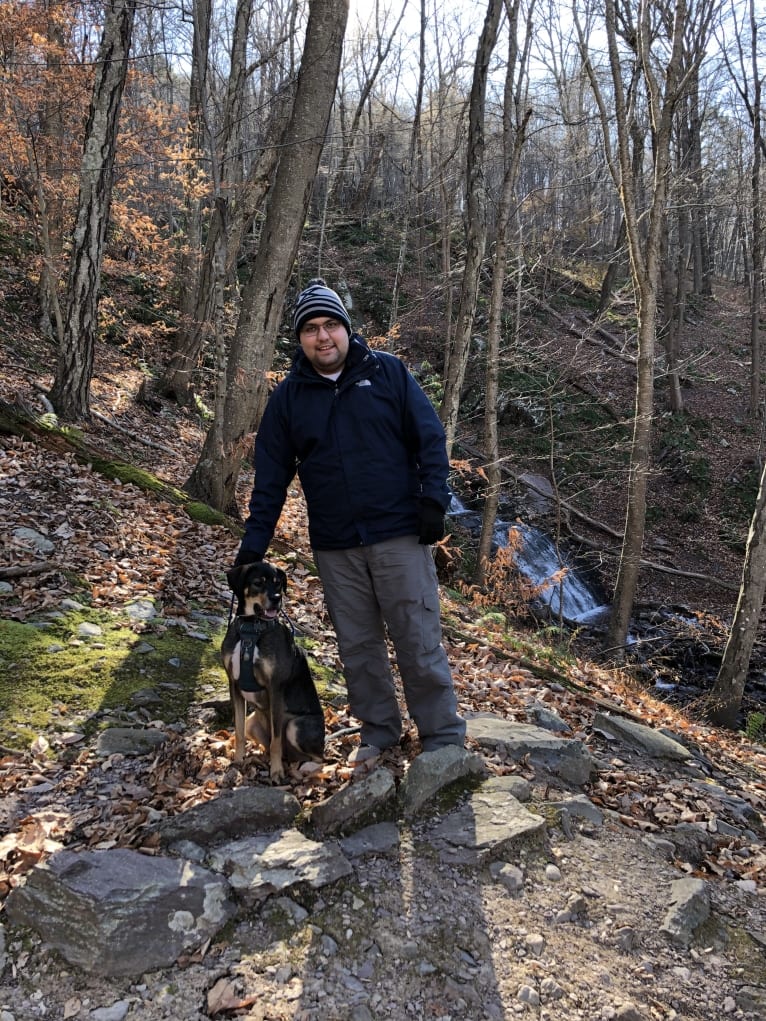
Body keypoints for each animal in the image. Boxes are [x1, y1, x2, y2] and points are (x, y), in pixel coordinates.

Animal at [220, 559, 324, 780]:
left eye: (278, 584)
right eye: (258, 582)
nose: (277, 599)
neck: (251, 629)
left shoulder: (275, 687)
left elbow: (276, 741)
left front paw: (276, 772)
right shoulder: (234, 684)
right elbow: (239, 731)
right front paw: (238, 760)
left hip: (296, 726)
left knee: (317, 757)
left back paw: (303, 768)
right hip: (253, 722)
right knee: (271, 746)